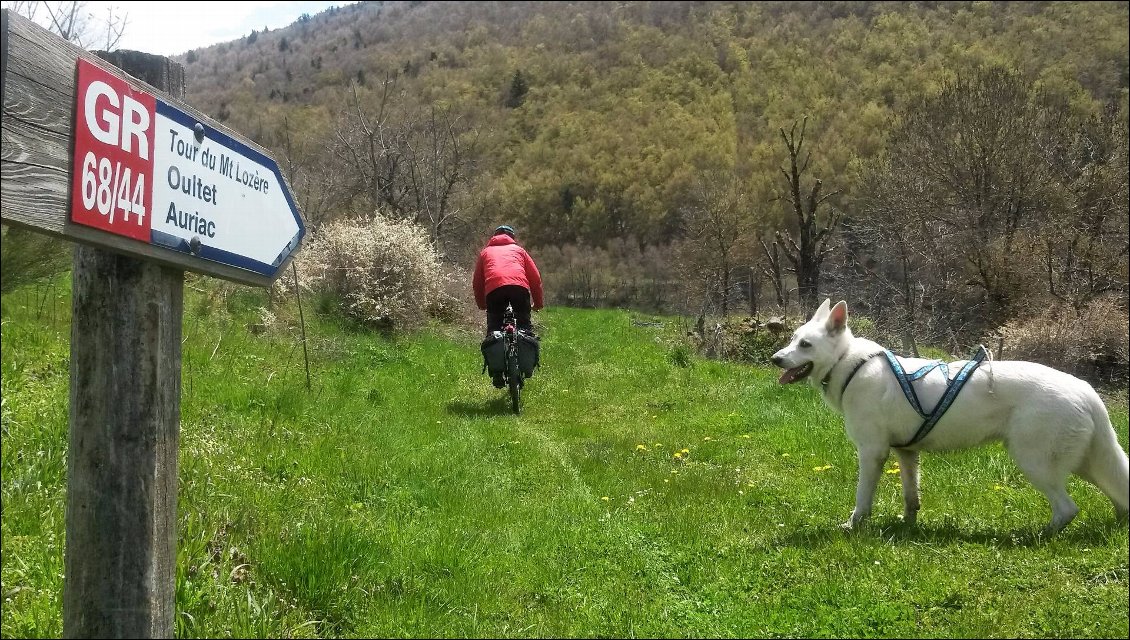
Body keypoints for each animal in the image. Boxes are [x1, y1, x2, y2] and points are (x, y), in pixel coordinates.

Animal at [772, 300, 1125, 535]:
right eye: (792, 339)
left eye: (805, 344)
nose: (775, 359)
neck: (849, 363)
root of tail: (1086, 390)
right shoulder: (906, 454)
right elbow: (911, 497)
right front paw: (908, 526)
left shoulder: (872, 453)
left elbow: (862, 499)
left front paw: (853, 525)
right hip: (1088, 464)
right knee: (1118, 495)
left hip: (1036, 464)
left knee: (1067, 509)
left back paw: (1036, 536)